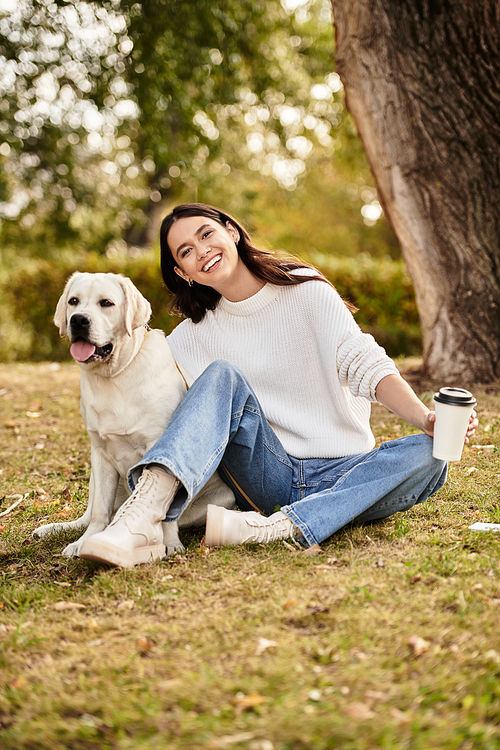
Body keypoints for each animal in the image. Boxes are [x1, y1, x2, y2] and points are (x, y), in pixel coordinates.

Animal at [33, 274, 236, 560]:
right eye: (73, 301)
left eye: (106, 303)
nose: (78, 320)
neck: (114, 375)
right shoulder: (100, 453)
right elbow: (99, 512)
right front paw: (84, 542)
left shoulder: (157, 444)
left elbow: (165, 510)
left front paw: (170, 543)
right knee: (93, 515)